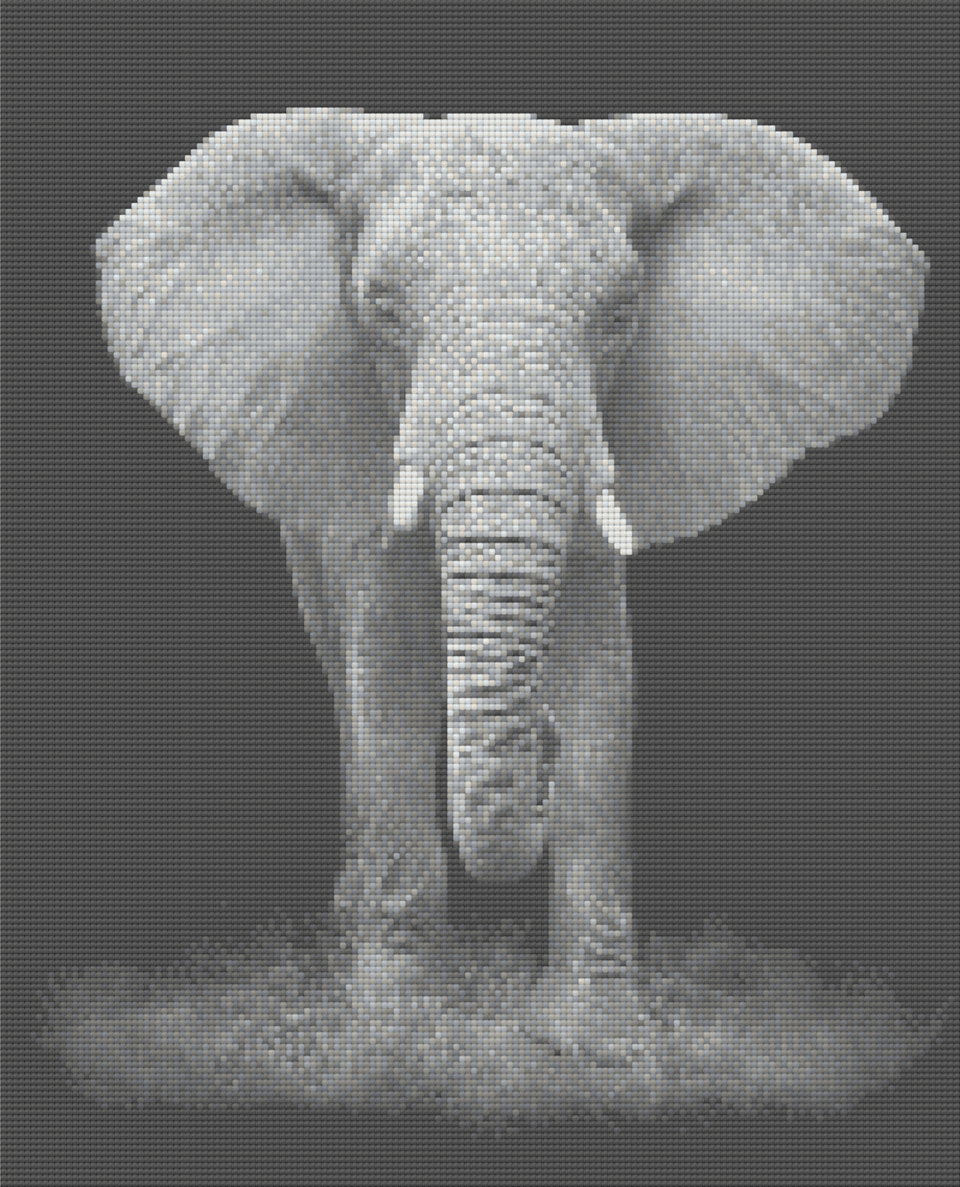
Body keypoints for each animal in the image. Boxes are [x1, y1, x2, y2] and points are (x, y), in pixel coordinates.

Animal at [95, 111, 927, 1065]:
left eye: (621, 313)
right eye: (381, 308)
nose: (540, 740)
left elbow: (603, 684)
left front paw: (596, 1039)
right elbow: (390, 686)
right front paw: (399, 1030)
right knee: (340, 672)